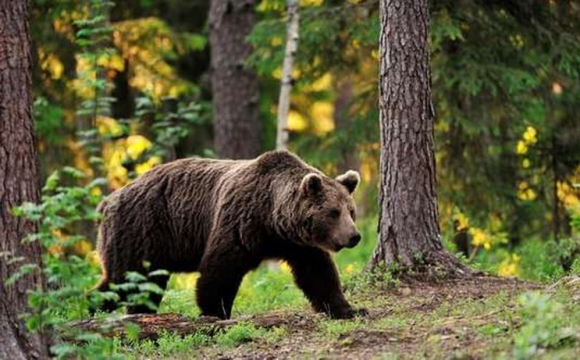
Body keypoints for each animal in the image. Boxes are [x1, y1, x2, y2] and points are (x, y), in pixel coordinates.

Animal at [97, 150, 364, 320]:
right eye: (333, 212)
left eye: (351, 211)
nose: (354, 236)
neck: (272, 218)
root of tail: (109, 200)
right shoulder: (240, 223)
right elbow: (220, 270)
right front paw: (215, 311)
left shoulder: (298, 243)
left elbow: (318, 274)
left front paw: (349, 310)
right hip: (142, 229)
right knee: (126, 281)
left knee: (141, 285)